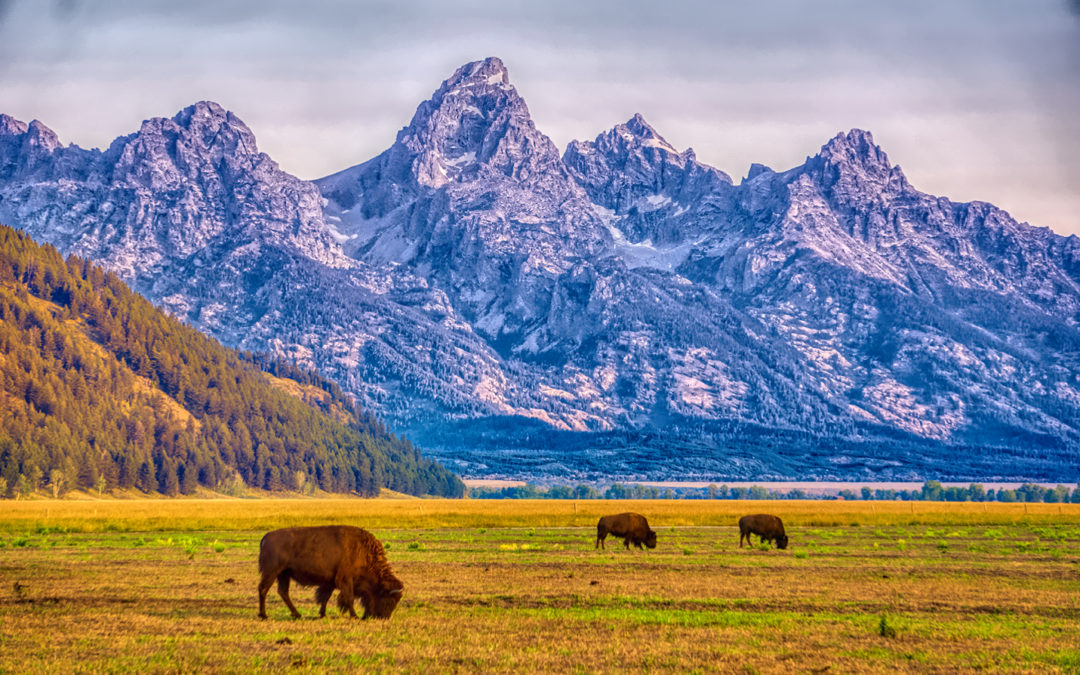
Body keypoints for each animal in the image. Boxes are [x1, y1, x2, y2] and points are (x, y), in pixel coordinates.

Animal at [254, 524, 403, 617]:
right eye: (389, 600)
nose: (384, 617)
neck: (363, 552)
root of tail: (266, 537)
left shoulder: (331, 581)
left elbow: (325, 597)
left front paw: (322, 613)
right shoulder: (345, 579)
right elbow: (349, 598)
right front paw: (354, 615)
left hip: (284, 574)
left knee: (283, 592)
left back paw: (297, 614)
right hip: (272, 572)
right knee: (263, 589)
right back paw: (264, 615)